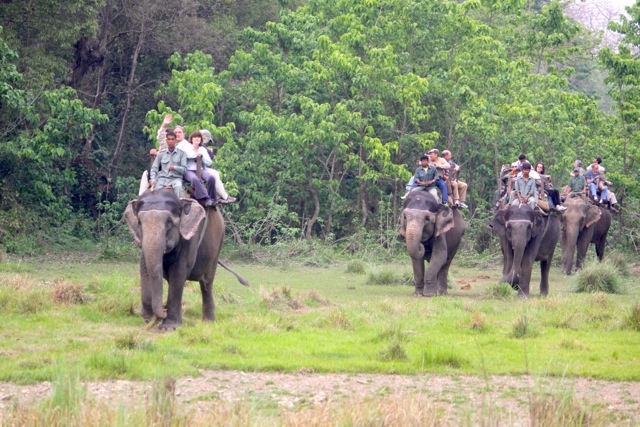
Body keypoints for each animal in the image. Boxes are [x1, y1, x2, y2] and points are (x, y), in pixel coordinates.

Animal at [123, 188, 248, 332]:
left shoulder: (191, 237)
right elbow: (145, 269)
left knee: (207, 283)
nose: (164, 309)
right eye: (139, 222)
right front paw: (149, 319)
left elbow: (179, 271)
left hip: (219, 243)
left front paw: (168, 327)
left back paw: (209, 321)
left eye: (169, 221)